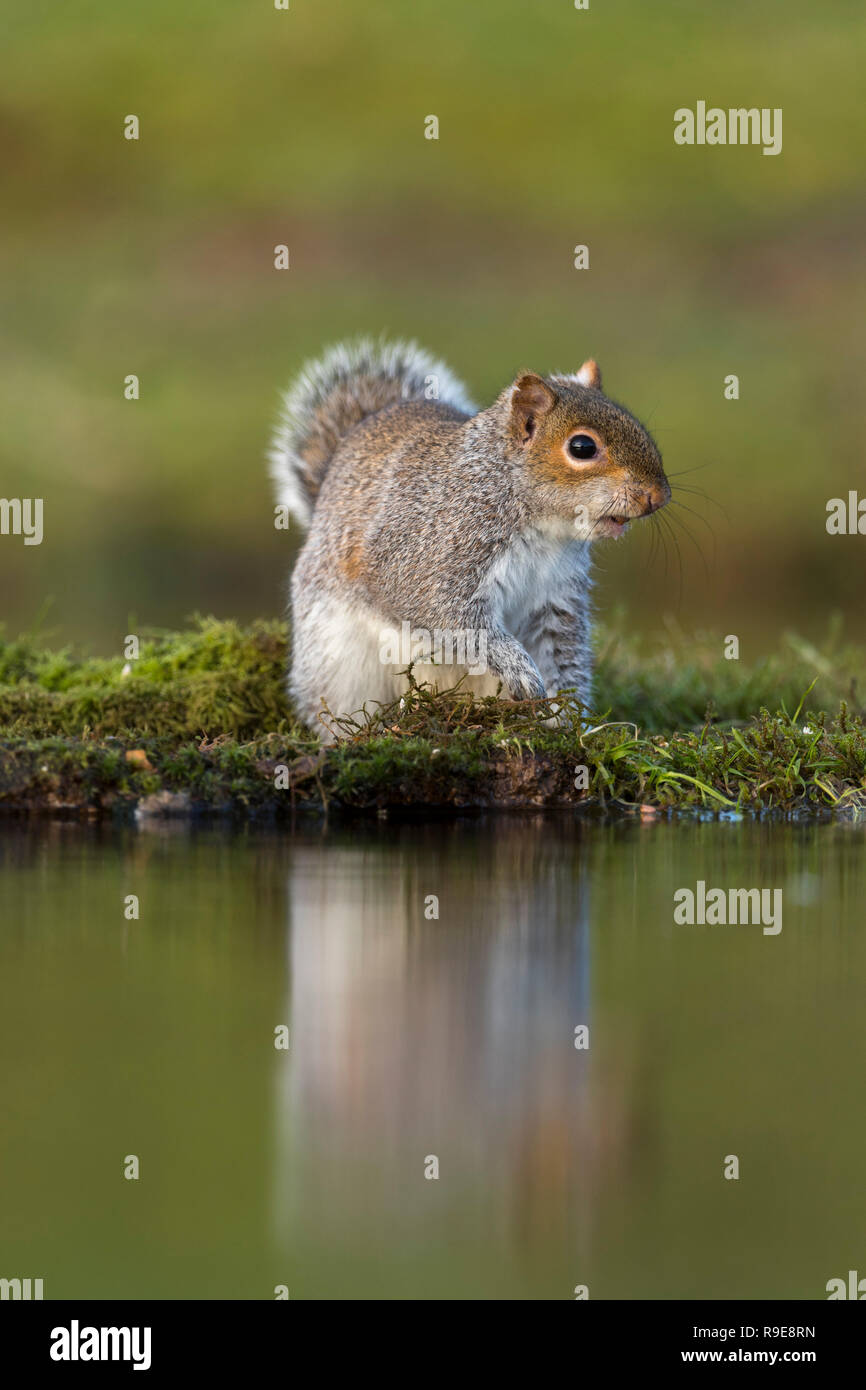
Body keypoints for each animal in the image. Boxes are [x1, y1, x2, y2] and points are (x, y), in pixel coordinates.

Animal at [269, 338, 670, 736]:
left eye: (637, 425)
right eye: (582, 447)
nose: (658, 496)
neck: (544, 529)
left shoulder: (557, 599)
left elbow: (563, 656)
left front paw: (570, 722)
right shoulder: (431, 555)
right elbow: (455, 622)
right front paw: (519, 669)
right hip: (338, 664)